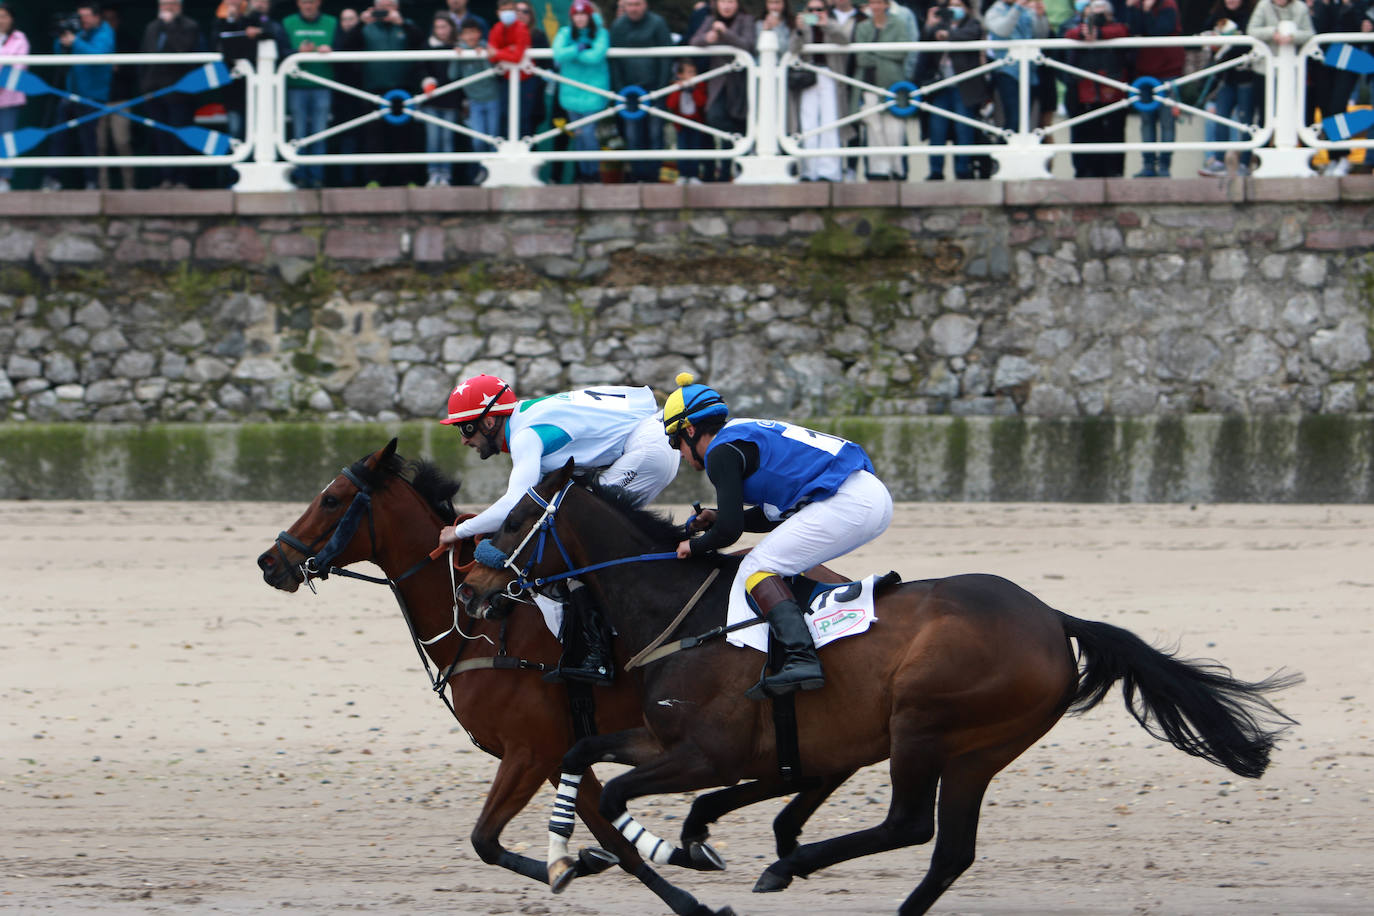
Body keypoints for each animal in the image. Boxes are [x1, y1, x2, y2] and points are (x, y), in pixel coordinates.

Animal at [251, 439, 736, 911]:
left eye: (331, 499)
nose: (269, 562)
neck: (479, 631)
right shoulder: (558, 753)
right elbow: (612, 840)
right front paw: (600, 863)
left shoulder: (531, 751)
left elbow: (485, 839)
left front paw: (588, 865)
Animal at [458, 466, 1297, 916]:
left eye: (523, 515)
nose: (471, 589)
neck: (680, 614)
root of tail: (1054, 618)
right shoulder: (665, 738)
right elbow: (584, 759)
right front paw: (575, 853)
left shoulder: (706, 751)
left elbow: (622, 793)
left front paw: (669, 849)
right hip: (980, 750)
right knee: (949, 850)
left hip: (922, 724)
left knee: (909, 826)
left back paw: (789, 866)